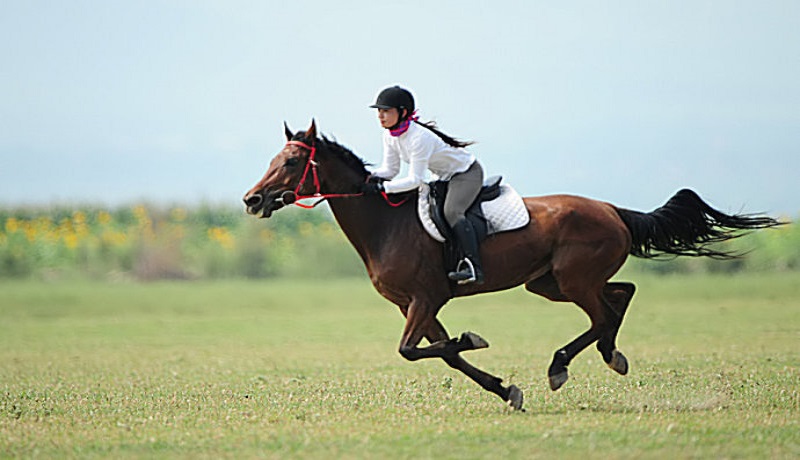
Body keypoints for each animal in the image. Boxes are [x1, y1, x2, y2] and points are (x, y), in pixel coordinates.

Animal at [242, 120, 780, 412]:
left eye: (292, 163)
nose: (252, 200)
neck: (384, 222)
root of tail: (612, 208)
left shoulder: (426, 298)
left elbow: (417, 351)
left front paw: (475, 340)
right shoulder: (413, 305)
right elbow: (442, 354)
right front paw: (505, 390)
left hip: (573, 280)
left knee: (604, 312)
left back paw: (566, 364)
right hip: (550, 283)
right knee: (621, 294)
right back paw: (608, 354)